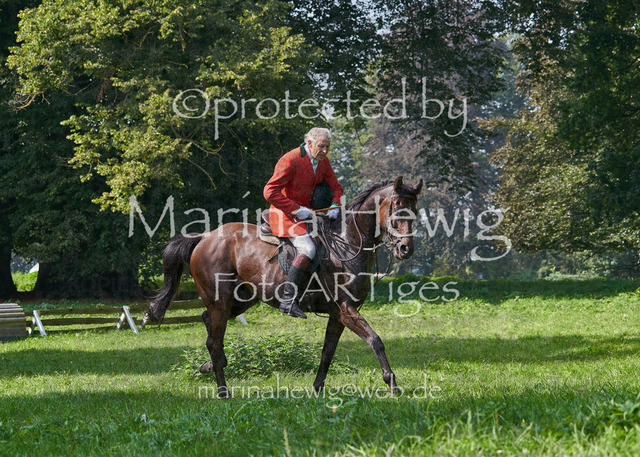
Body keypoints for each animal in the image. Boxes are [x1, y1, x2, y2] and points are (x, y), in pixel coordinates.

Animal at [148, 176, 423, 398]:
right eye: (398, 211)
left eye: (415, 212)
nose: (405, 249)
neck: (347, 244)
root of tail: (205, 237)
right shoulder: (346, 310)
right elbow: (375, 340)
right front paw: (392, 384)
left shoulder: (337, 314)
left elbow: (328, 351)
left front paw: (317, 388)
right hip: (221, 301)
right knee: (215, 341)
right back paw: (223, 391)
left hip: (242, 299)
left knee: (208, 325)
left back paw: (211, 366)